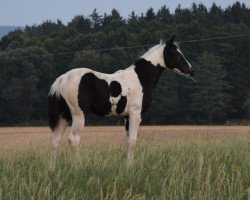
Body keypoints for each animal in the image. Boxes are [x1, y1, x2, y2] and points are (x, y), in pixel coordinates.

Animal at [47, 35, 194, 166]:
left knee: (55, 140)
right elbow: (133, 141)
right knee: (74, 140)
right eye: (177, 54)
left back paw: (52, 169)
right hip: (78, 115)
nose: (191, 70)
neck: (140, 78)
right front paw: (130, 167)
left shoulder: (127, 117)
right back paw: (79, 166)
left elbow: (128, 141)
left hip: (64, 116)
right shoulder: (136, 114)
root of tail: (62, 79)